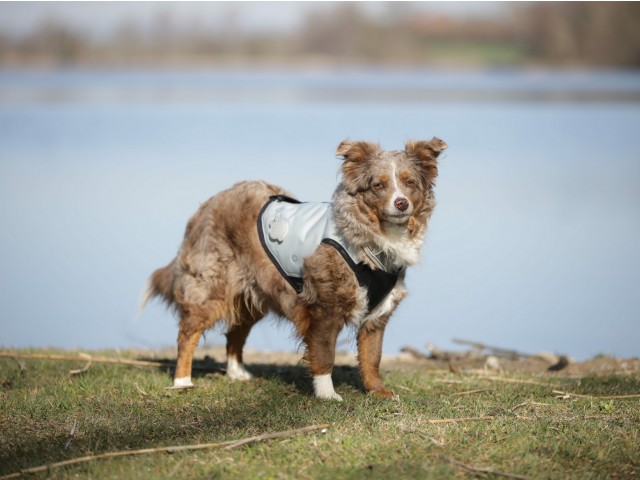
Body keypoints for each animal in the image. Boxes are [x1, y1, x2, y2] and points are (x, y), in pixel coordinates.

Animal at [141, 139, 444, 402]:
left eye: (410, 183)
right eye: (379, 186)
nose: (401, 203)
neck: (371, 238)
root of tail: (209, 202)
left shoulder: (378, 313)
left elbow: (372, 357)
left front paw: (378, 392)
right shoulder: (324, 307)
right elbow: (325, 354)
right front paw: (327, 395)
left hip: (255, 293)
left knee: (235, 333)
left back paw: (238, 373)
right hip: (212, 287)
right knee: (187, 333)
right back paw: (182, 381)